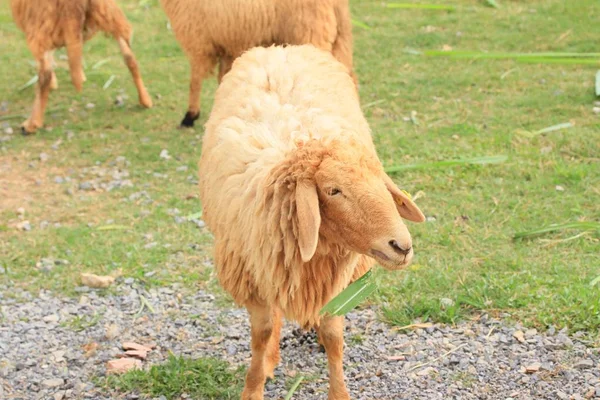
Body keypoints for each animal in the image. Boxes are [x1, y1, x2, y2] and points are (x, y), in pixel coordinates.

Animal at [9, 0, 152, 135]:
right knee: (130, 58)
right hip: (110, 13)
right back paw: (145, 100)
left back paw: (32, 124)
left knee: (45, 74)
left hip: (42, 23)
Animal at [158, 0, 356, 127]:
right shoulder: (227, 47)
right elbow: (223, 80)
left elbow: (195, 81)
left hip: (311, 33)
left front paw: (190, 116)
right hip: (340, 37)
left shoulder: (198, 40)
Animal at [198, 44, 426, 400]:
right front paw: (255, 383)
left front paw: (339, 391)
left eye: (380, 181)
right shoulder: (254, 273)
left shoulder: (338, 281)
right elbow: (261, 334)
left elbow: (334, 336)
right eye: (333, 190)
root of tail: (282, 48)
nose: (401, 246)